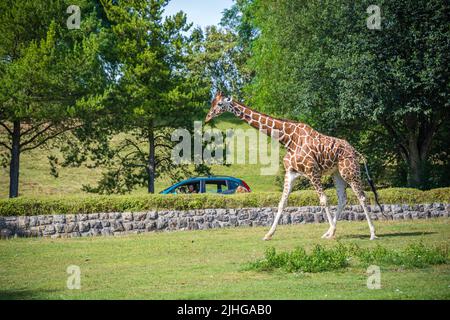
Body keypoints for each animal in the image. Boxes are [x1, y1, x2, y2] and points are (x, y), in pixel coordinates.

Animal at [205, 91, 384, 239]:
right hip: (337, 173)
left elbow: (323, 200)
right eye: (212, 103)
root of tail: (355, 151)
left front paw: (333, 231)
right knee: (343, 199)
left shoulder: (312, 171)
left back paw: (372, 233)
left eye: (219, 104)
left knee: (362, 196)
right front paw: (268, 234)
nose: (207, 117)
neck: (287, 139)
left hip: (350, 171)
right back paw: (328, 232)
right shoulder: (290, 172)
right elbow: (281, 203)